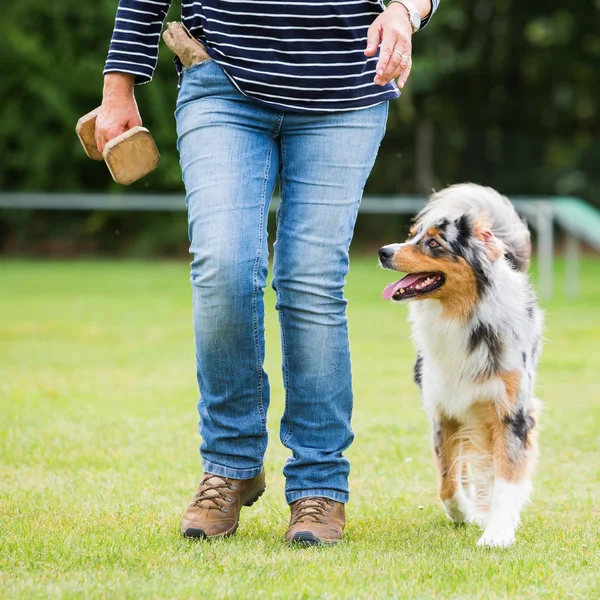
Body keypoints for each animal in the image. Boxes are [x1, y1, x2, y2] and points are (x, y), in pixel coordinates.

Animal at [380, 184, 544, 548]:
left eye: (434, 244)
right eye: (412, 236)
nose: (383, 251)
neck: (465, 318)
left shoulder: (512, 413)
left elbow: (507, 478)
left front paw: (497, 533)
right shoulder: (444, 410)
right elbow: (447, 482)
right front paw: (466, 513)